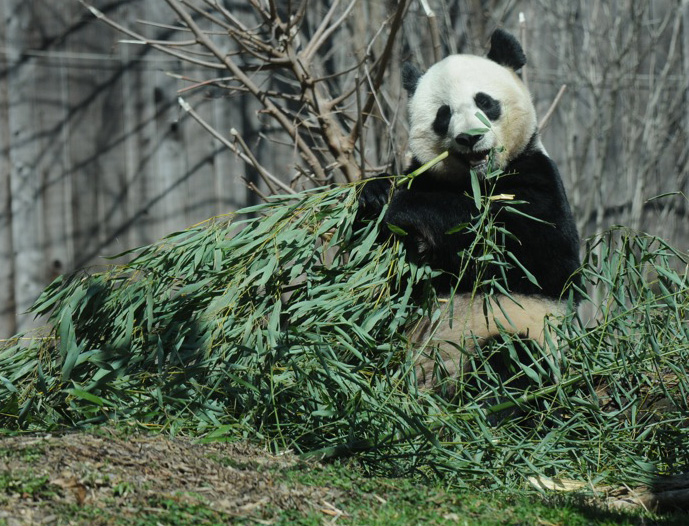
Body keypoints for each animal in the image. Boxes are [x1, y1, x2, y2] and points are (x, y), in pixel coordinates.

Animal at [357, 29, 581, 388]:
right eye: (443, 114)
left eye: (485, 102)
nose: (469, 138)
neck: (476, 182)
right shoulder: (423, 175)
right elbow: (381, 272)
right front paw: (375, 194)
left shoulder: (537, 177)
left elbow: (535, 249)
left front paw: (402, 206)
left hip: (521, 331)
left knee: (513, 359)